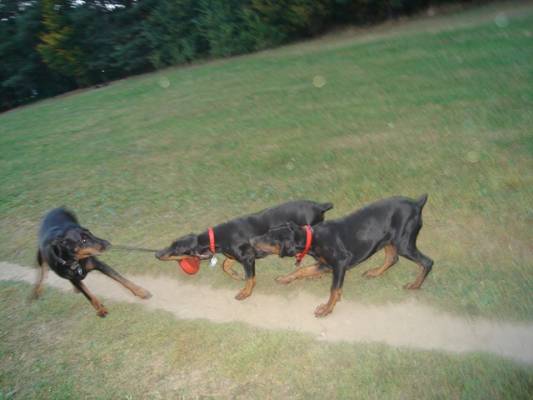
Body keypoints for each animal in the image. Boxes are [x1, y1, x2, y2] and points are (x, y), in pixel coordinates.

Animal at [155, 200, 333, 300]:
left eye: (177, 250)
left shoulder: (248, 258)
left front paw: (245, 293)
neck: (217, 237)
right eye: (172, 243)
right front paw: (235, 275)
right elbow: (225, 265)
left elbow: (250, 278)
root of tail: (319, 206)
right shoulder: (234, 255)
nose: (157, 254)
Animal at [251, 195, 433, 317]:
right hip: (388, 240)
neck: (313, 237)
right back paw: (374, 272)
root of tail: (416, 204)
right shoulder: (325, 264)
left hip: (403, 243)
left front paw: (326, 309)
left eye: (270, 238)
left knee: (427, 262)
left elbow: (334, 289)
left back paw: (415, 285)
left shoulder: (340, 263)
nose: (251, 240)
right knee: (392, 258)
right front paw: (285, 278)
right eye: (267, 232)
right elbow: (302, 270)